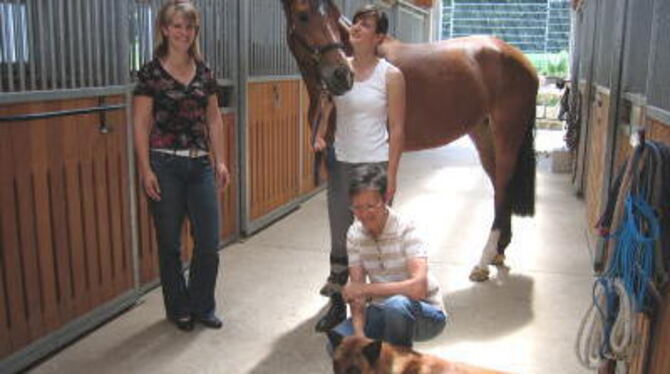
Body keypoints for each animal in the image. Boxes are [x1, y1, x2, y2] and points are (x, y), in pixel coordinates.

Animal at [282, 0, 540, 280]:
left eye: (333, 14)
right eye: (303, 16)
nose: (342, 75)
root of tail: (521, 59)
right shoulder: (334, 158)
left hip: (507, 137)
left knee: (503, 190)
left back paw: (482, 262)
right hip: (484, 136)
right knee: (500, 190)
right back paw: (498, 252)